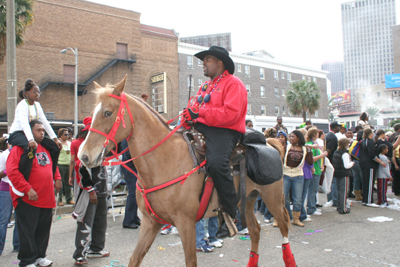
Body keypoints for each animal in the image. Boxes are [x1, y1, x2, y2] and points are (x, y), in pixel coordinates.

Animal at [78, 76, 296, 266]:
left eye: (107, 112)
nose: (84, 156)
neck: (164, 161)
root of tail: (269, 143)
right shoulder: (150, 223)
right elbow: (135, 259)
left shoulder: (186, 223)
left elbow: (190, 261)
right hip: (248, 200)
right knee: (256, 231)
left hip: (272, 199)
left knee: (284, 228)